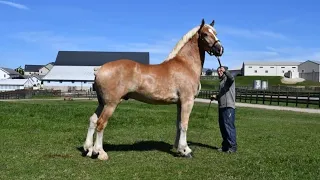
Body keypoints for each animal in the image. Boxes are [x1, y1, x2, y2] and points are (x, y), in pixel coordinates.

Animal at [84, 19, 224, 160]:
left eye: (216, 33)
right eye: (205, 34)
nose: (220, 49)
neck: (185, 64)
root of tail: (99, 69)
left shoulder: (179, 103)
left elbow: (178, 124)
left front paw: (178, 148)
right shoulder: (187, 101)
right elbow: (184, 124)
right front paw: (186, 150)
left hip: (102, 103)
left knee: (93, 120)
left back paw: (89, 149)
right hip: (111, 104)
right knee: (101, 123)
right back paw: (100, 152)